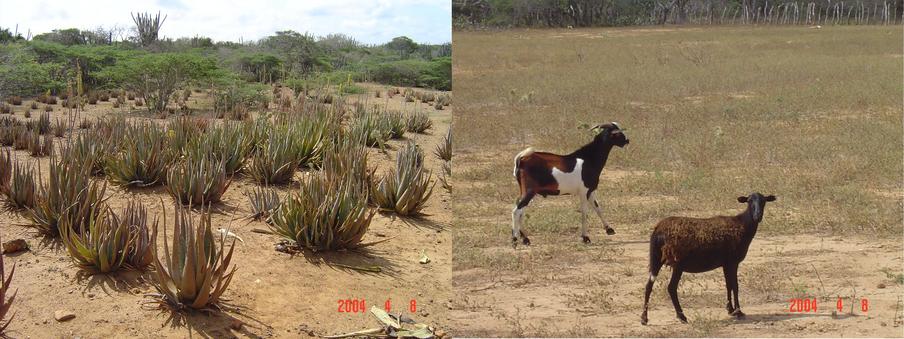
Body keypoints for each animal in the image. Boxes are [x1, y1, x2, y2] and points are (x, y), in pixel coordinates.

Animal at [640, 193, 780, 326]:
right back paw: (682, 316)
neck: (742, 224)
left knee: (649, 286)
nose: (758, 216)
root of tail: (658, 231)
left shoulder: (726, 263)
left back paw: (644, 318)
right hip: (677, 263)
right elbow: (735, 285)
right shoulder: (732, 262)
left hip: (656, 259)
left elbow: (728, 284)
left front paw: (730, 309)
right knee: (671, 288)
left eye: (764, 201)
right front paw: (738, 311)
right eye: (749, 201)